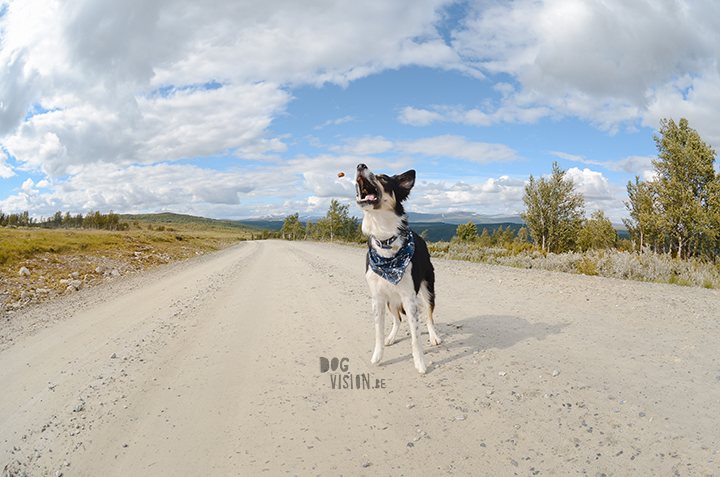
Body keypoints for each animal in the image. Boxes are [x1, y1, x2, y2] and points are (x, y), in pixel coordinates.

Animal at [352, 165, 438, 374]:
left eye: (383, 178)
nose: (360, 165)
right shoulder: (378, 297)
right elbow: (378, 332)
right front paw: (378, 355)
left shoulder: (409, 297)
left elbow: (416, 335)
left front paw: (420, 363)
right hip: (391, 299)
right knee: (398, 319)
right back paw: (391, 337)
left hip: (428, 289)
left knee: (429, 316)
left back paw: (434, 337)